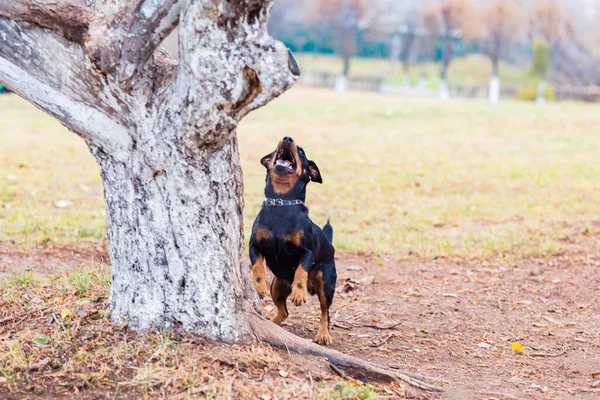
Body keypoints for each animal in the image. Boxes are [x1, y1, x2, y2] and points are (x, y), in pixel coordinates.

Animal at [247, 136, 336, 346]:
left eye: (301, 151)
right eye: (274, 149)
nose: (287, 138)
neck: (281, 203)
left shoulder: (307, 251)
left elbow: (301, 271)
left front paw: (299, 293)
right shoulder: (254, 245)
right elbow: (257, 267)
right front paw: (259, 286)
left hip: (326, 283)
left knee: (325, 313)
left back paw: (323, 334)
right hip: (277, 286)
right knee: (284, 312)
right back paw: (272, 324)